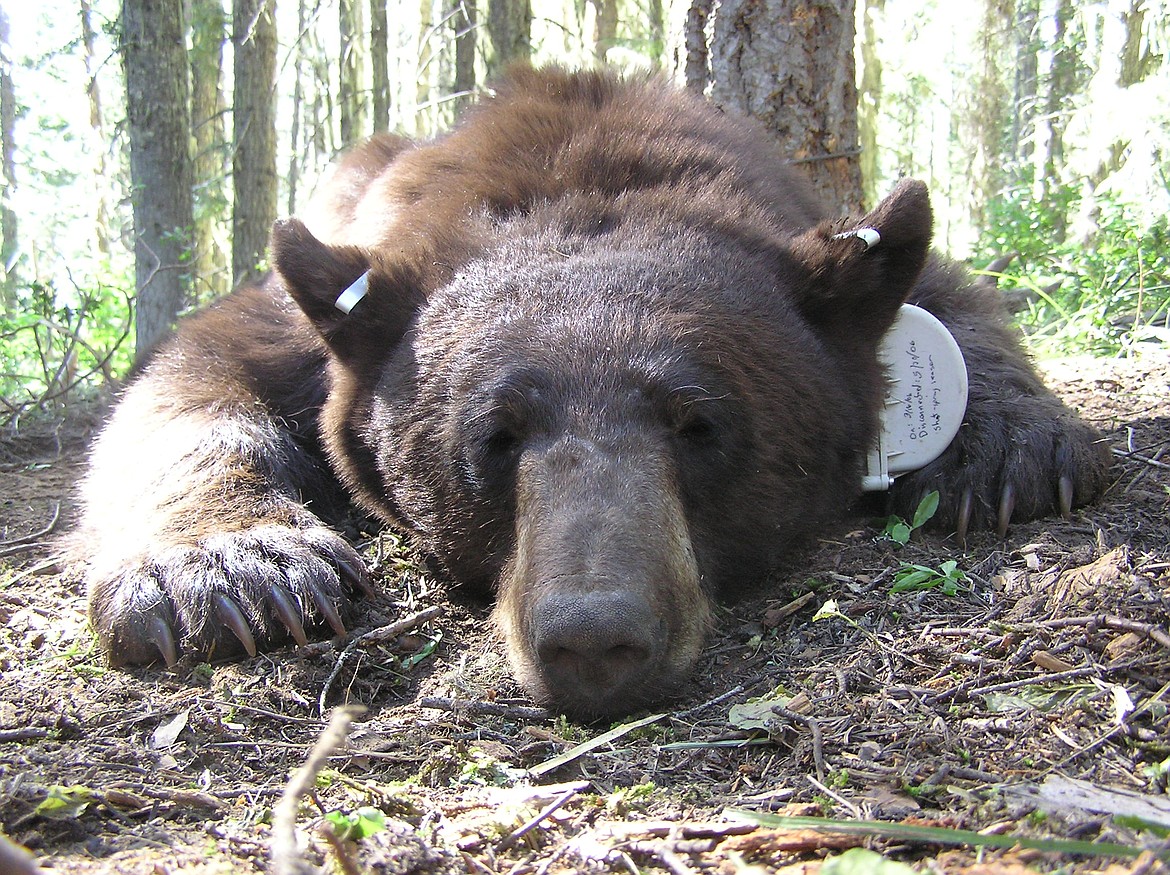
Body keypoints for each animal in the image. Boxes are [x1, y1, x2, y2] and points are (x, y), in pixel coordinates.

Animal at [73, 68, 1104, 720]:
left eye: (700, 424)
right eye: (493, 436)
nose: (593, 637)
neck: (581, 159)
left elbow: (950, 295)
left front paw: (1014, 450)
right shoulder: (318, 306)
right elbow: (189, 377)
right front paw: (230, 568)